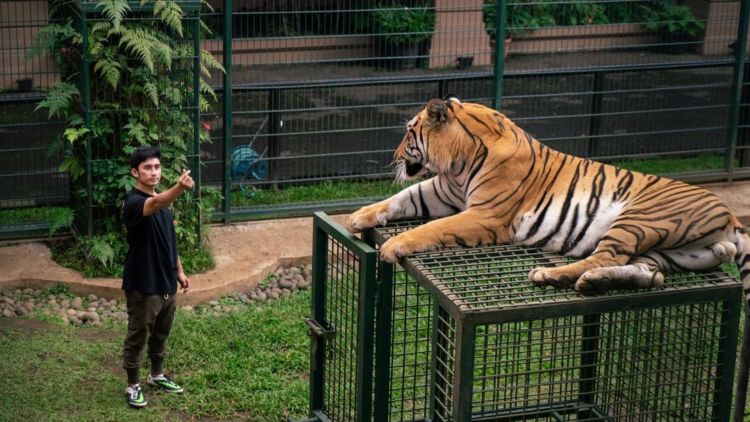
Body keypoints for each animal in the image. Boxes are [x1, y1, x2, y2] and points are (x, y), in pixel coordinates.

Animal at [348, 95, 750, 296]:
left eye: (409, 132)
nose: (394, 156)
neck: (459, 163)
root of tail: (731, 219)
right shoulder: (442, 191)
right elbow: (403, 198)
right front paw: (359, 215)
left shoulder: (484, 214)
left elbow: (429, 228)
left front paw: (393, 245)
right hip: (667, 252)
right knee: (645, 272)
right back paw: (600, 282)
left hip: (640, 219)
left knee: (604, 255)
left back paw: (549, 275)